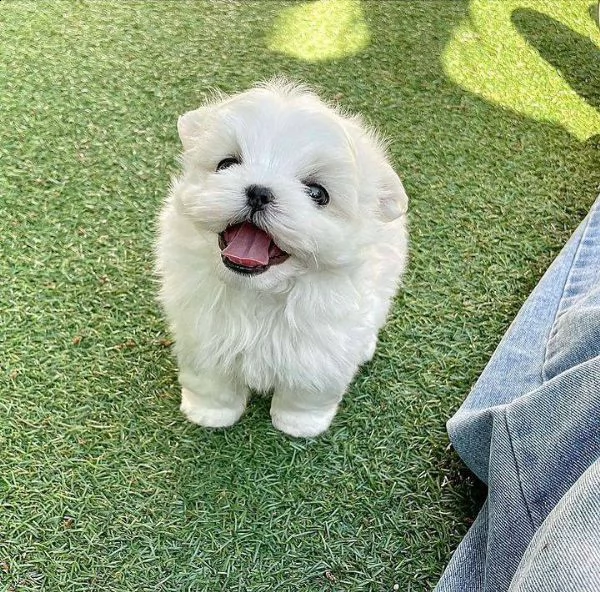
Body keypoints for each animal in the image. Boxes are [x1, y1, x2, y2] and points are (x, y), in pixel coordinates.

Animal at [156, 81, 408, 438]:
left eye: (318, 194)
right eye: (226, 164)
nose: (259, 191)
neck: (261, 292)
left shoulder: (321, 349)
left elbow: (308, 390)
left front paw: (298, 424)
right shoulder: (203, 333)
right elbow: (211, 380)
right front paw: (210, 413)